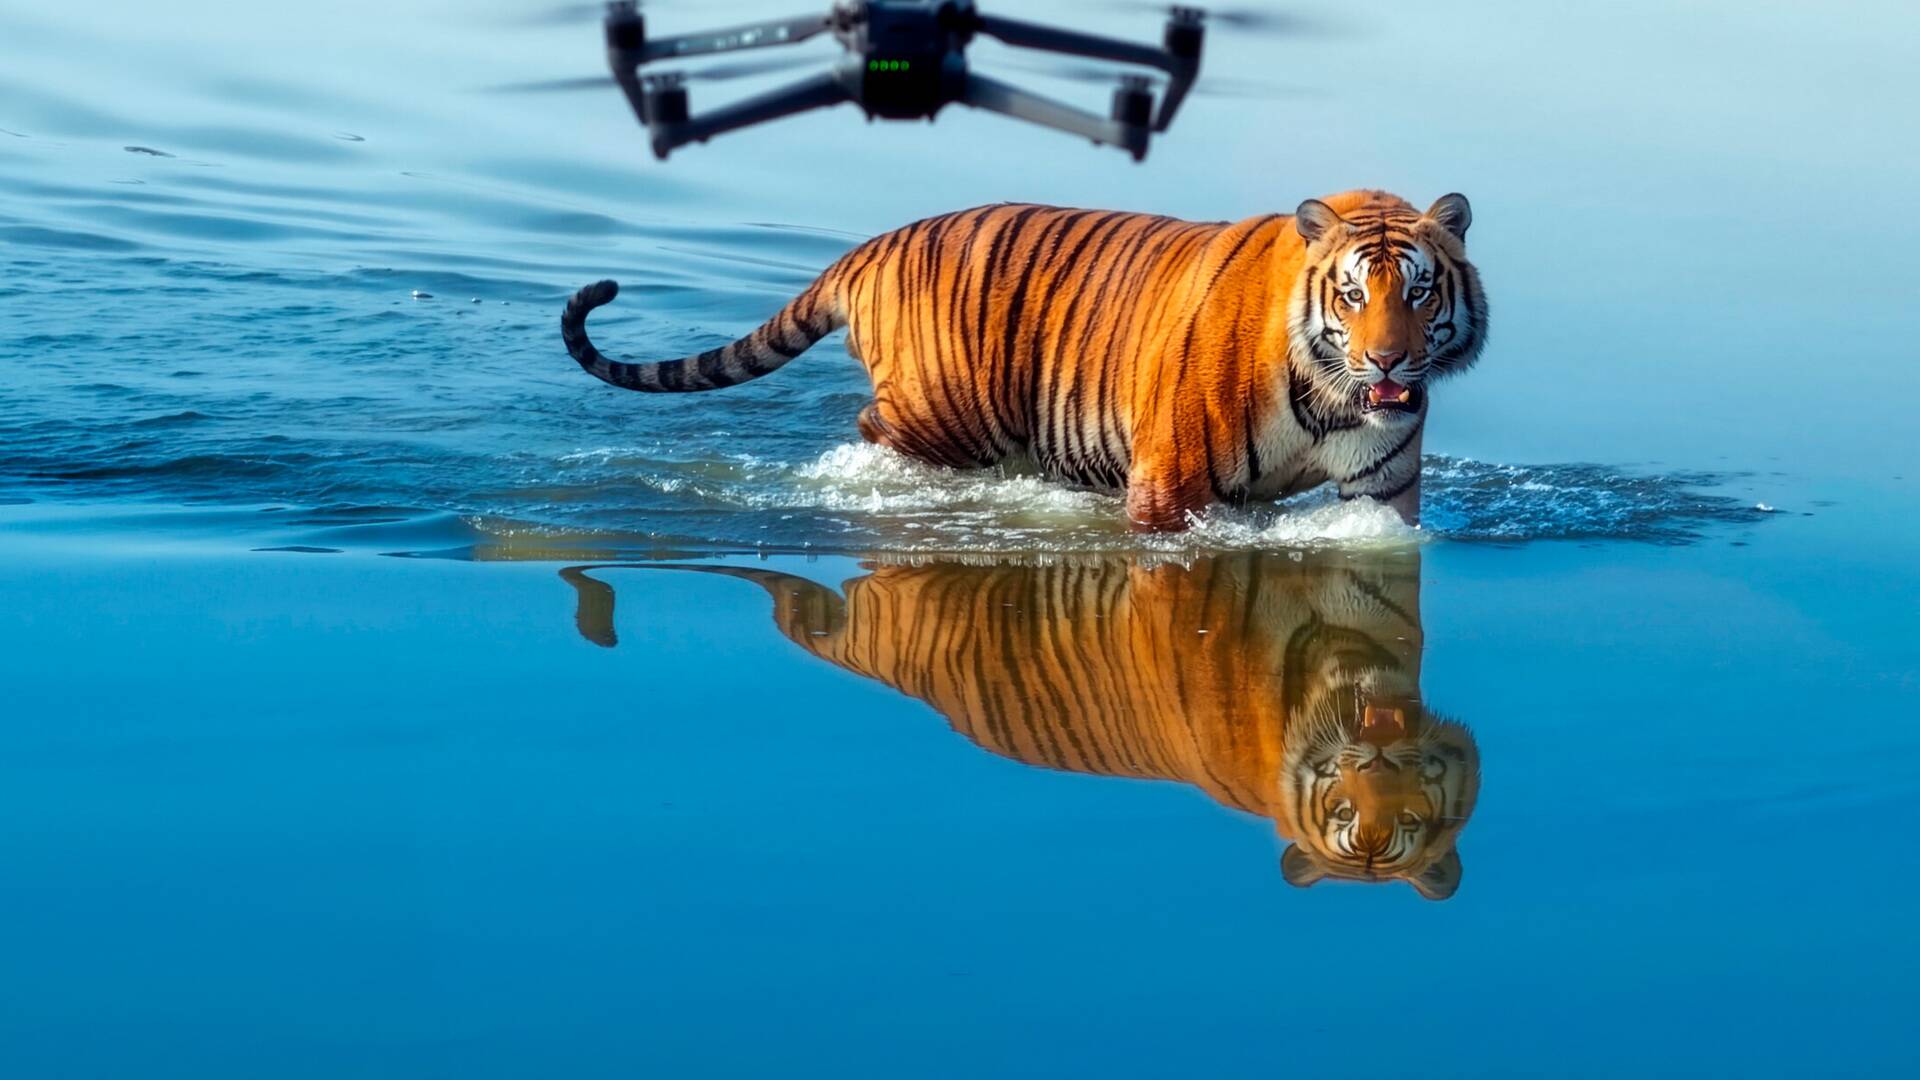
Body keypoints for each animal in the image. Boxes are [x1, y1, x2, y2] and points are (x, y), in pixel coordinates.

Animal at [560, 190, 1486, 530]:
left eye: (1419, 292)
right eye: (1353, 296)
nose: (1388, 364)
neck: (1329, 394)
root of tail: (871, 246)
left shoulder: (1384, 491)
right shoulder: (1169, 484)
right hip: (942, 413)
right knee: (872, 428)